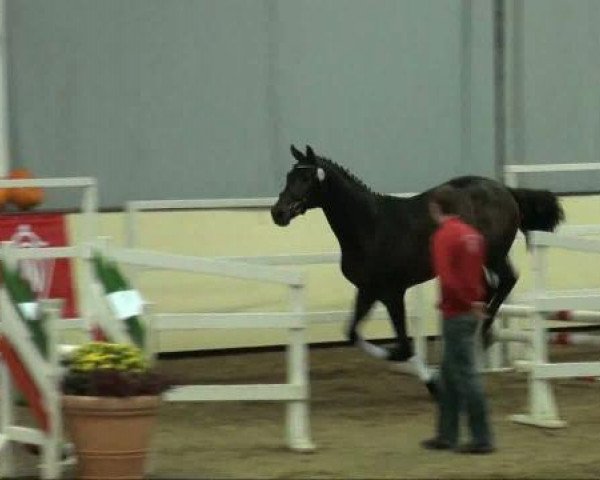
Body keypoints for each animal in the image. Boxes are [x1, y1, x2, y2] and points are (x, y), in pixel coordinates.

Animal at [272, 144, 564, 396]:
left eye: (306, 178)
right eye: (288, 175)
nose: (278, 213)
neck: (370, 226)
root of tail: (504, 190)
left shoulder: (392, 292)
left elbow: (403, 345)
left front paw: (432, 381)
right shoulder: (368, 290)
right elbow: (352, 333)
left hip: (494, 255)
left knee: (505, 282)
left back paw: (481, 334)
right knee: (489, 288)